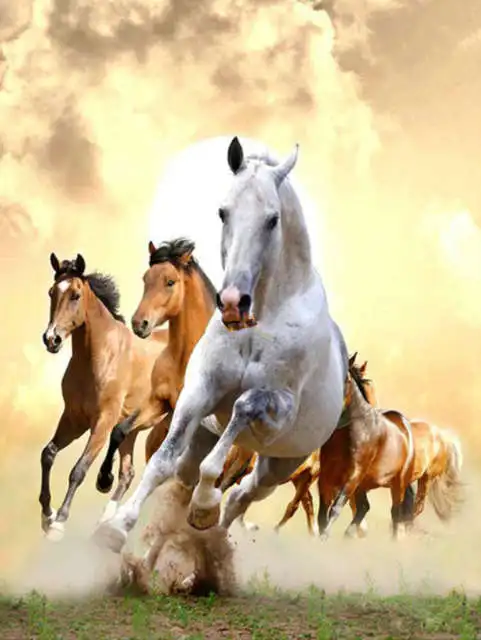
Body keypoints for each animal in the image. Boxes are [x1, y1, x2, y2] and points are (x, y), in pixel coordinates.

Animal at [40, 253, 165, 540]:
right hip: (135, 431)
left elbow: (79, 469)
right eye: (52, 292)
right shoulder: (74, 419)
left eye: (75, 295)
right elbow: (48, 454)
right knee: (128, 472)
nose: (51, 339)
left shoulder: (103, 422)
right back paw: (106, 520)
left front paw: (59, 522)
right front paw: (47, 514)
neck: (100, 356)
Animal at [96, 238, 217, 523]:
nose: (139, 323)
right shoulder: (158, 402)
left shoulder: (182, 415)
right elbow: (120, 431)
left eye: (170, 281)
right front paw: (103, 479)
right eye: (145, 278)